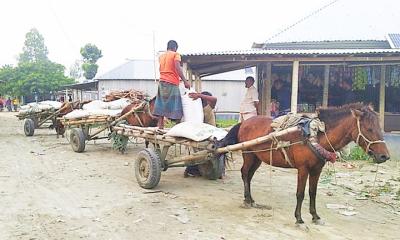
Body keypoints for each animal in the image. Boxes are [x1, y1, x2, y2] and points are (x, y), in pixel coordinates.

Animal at [220, 103, 390, 225]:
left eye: (380, 128)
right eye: (369, 129)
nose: (384, 156)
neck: (317, 135)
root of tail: (244, 122)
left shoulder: (317, 170)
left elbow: (312, 193)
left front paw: (315, 216)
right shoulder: (303, 169)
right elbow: (300, 194)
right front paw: (299, 218)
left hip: (257, 158)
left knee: (249, 175)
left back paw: (251, 199)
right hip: (248, 155)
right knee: (244, 173)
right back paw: (247, 200)